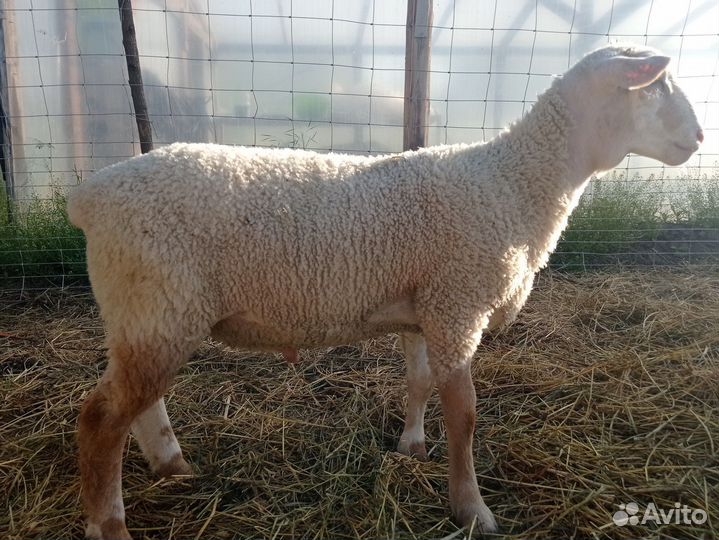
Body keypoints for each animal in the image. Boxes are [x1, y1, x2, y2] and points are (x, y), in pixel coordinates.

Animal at [67, 43, 703, 539]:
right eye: (657, 87)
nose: (698, 138)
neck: (515, 183)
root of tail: (90, 196)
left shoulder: (427, 310)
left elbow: (419, 384)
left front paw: (412, 448)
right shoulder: (459, 304)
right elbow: (465, 415)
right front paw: (471, 510)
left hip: (146, 311)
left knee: (140, 406)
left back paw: (172, 466)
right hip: (160, 303)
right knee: (101, 418)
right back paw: (110, 524)